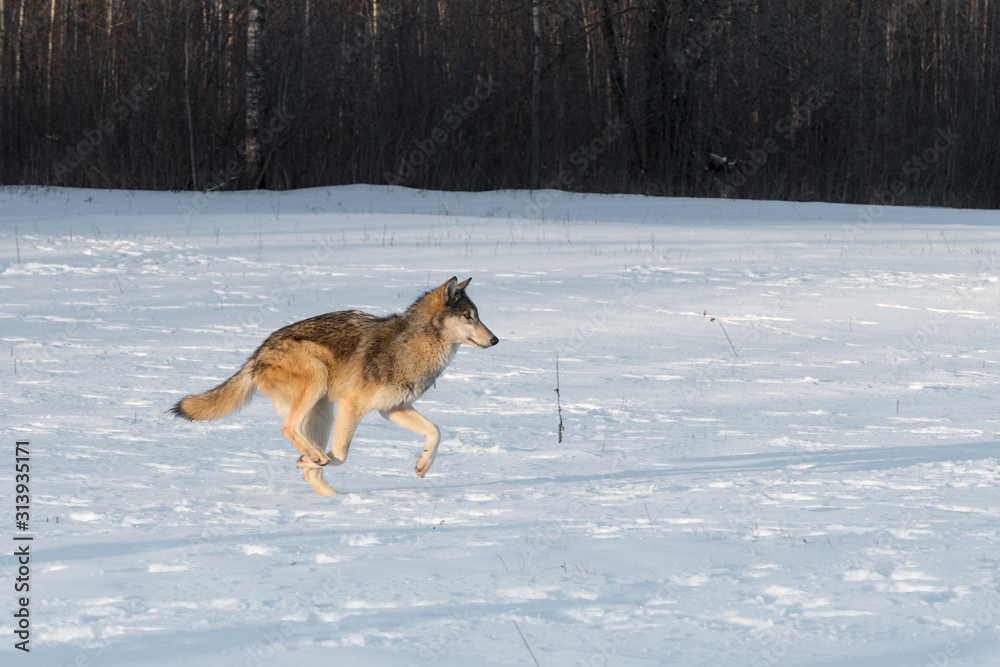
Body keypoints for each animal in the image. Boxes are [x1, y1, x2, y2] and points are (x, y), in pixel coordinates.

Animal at [175, 276, 500, 496]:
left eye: (478, 316)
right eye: (468, 317)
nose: (496, 340)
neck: (412, 347)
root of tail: (257, 354)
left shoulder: (392, 408)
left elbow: (435, 431)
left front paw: (423, 464)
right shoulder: (352, 405)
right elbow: (341, 455)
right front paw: (315, 460)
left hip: (322, 412)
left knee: (308, 461)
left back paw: (333, 500)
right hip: (317, 382)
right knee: (289, 428)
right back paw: (316, 459)